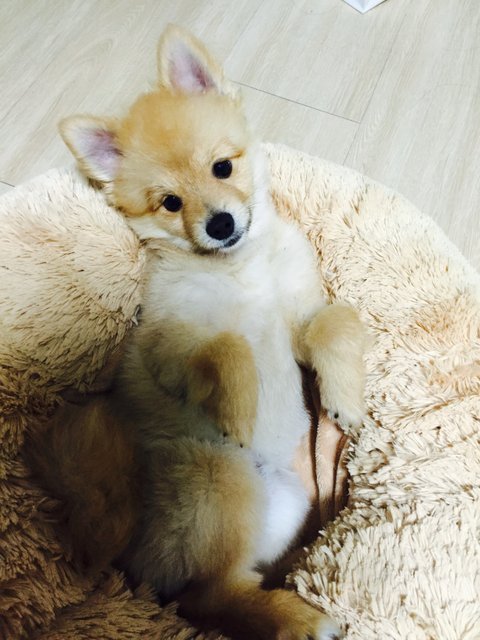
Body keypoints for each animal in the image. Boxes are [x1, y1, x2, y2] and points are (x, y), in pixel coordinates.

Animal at [57, 25, 366, 639]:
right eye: (170, 203)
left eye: (223, 168)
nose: (220, 224)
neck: (239, 269)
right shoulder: (169, 343)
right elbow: (229, 346)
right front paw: (242, 411)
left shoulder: (303, 316)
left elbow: (336, 322)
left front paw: (345, 398)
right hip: (220, 475)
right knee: (207, 596)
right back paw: (299, 619)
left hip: (285, 504)